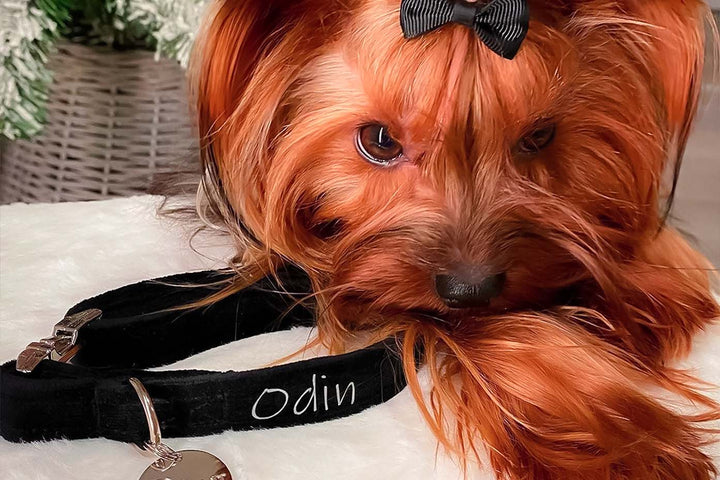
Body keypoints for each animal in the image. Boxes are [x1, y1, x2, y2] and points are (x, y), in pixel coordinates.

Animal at [190, 1, 720, 478]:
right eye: (379, 140)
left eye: (539, 136)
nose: (471, 291)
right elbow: (504, 330)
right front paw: (628, 446)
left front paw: (652, 295)